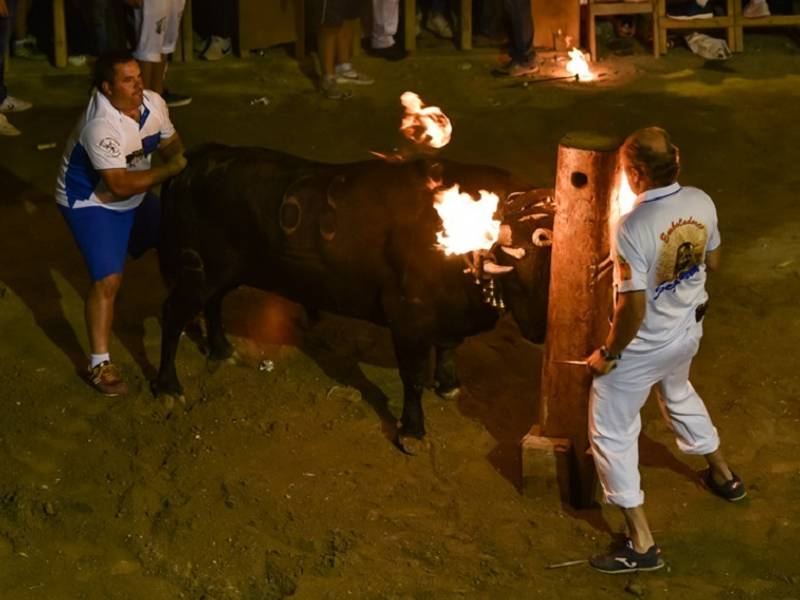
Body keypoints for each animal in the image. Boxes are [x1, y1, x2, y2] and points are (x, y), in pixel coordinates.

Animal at [155, 145, 556, 450]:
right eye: (525, 265)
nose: (542, 330)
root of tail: (197, 159)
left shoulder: (447, 316)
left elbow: (447, 348)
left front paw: (448, 386)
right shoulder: (408, 320)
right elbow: (412, 377)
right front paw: (413, 431)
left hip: (221, 273)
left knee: (213, 304)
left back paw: (222, 350)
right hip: (198, 270)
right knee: (172, 314)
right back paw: (168, 387)